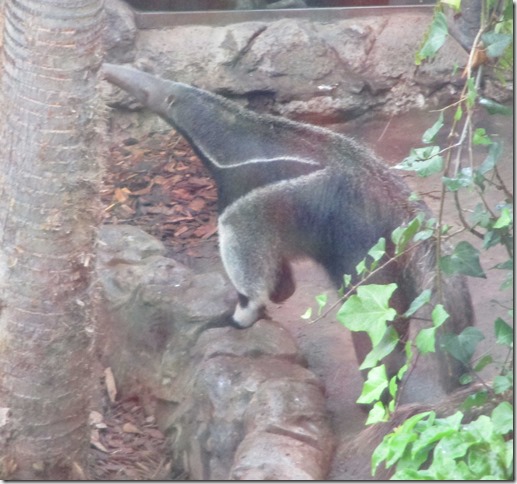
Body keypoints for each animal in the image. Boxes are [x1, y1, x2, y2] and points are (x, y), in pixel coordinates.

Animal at [102, 63, 474, 393]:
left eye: (150, 93)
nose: (107, 71)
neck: (233, 139)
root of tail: (397, 206)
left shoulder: (255, 193)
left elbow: (240, 242)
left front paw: (241, 314)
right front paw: (279, 291)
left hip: (358, 238)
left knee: (372, 314)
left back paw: (380, 385)